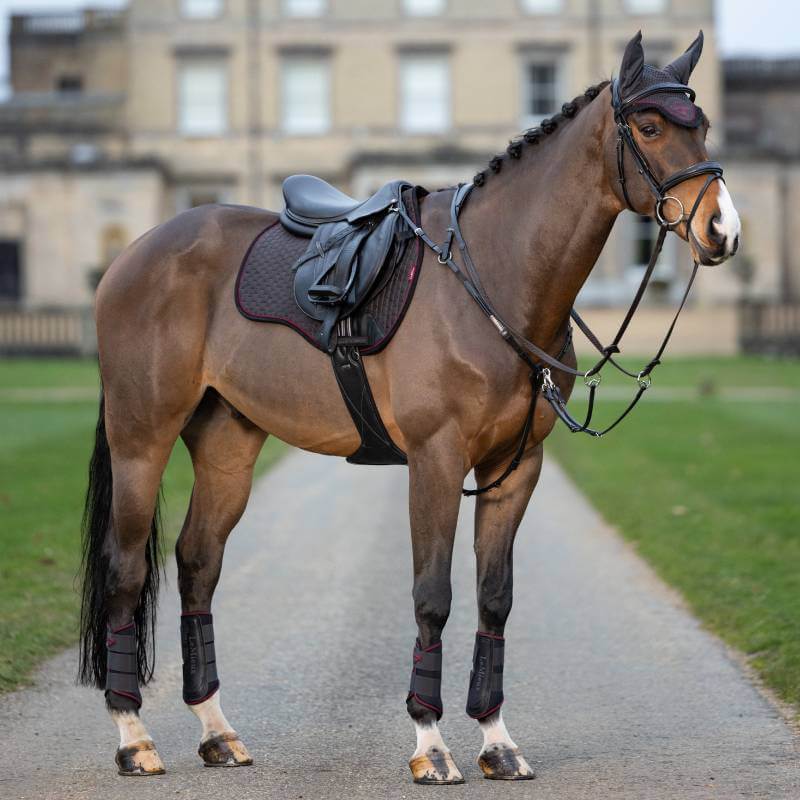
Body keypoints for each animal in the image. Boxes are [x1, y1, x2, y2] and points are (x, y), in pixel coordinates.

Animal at [78, 30, 740, 783]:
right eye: (651, 128)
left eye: (703, 125)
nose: (723, 229)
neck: (494, 278)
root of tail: (135, 254)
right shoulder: (435, 460)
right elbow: (433, 596)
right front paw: (430, 742)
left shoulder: (515, 470)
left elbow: (493, 598)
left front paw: (496, 741)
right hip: (141, 440)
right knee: (127, 571)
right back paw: (133, 736)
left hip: (226, 448)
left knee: (196, 565)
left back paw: (216, 730)